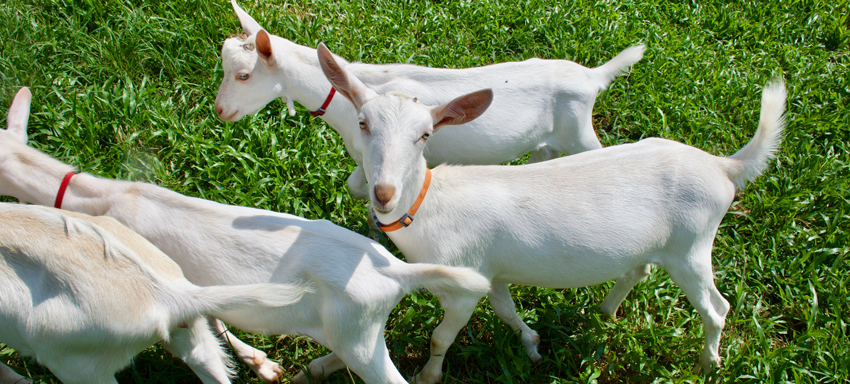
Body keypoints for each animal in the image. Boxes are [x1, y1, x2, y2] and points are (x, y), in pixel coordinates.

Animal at [212, 0, 644, 201]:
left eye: (244, 75)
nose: (220, 111)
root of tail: (592, 78)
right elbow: (355, 186)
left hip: (580, 132)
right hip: (550, 140)